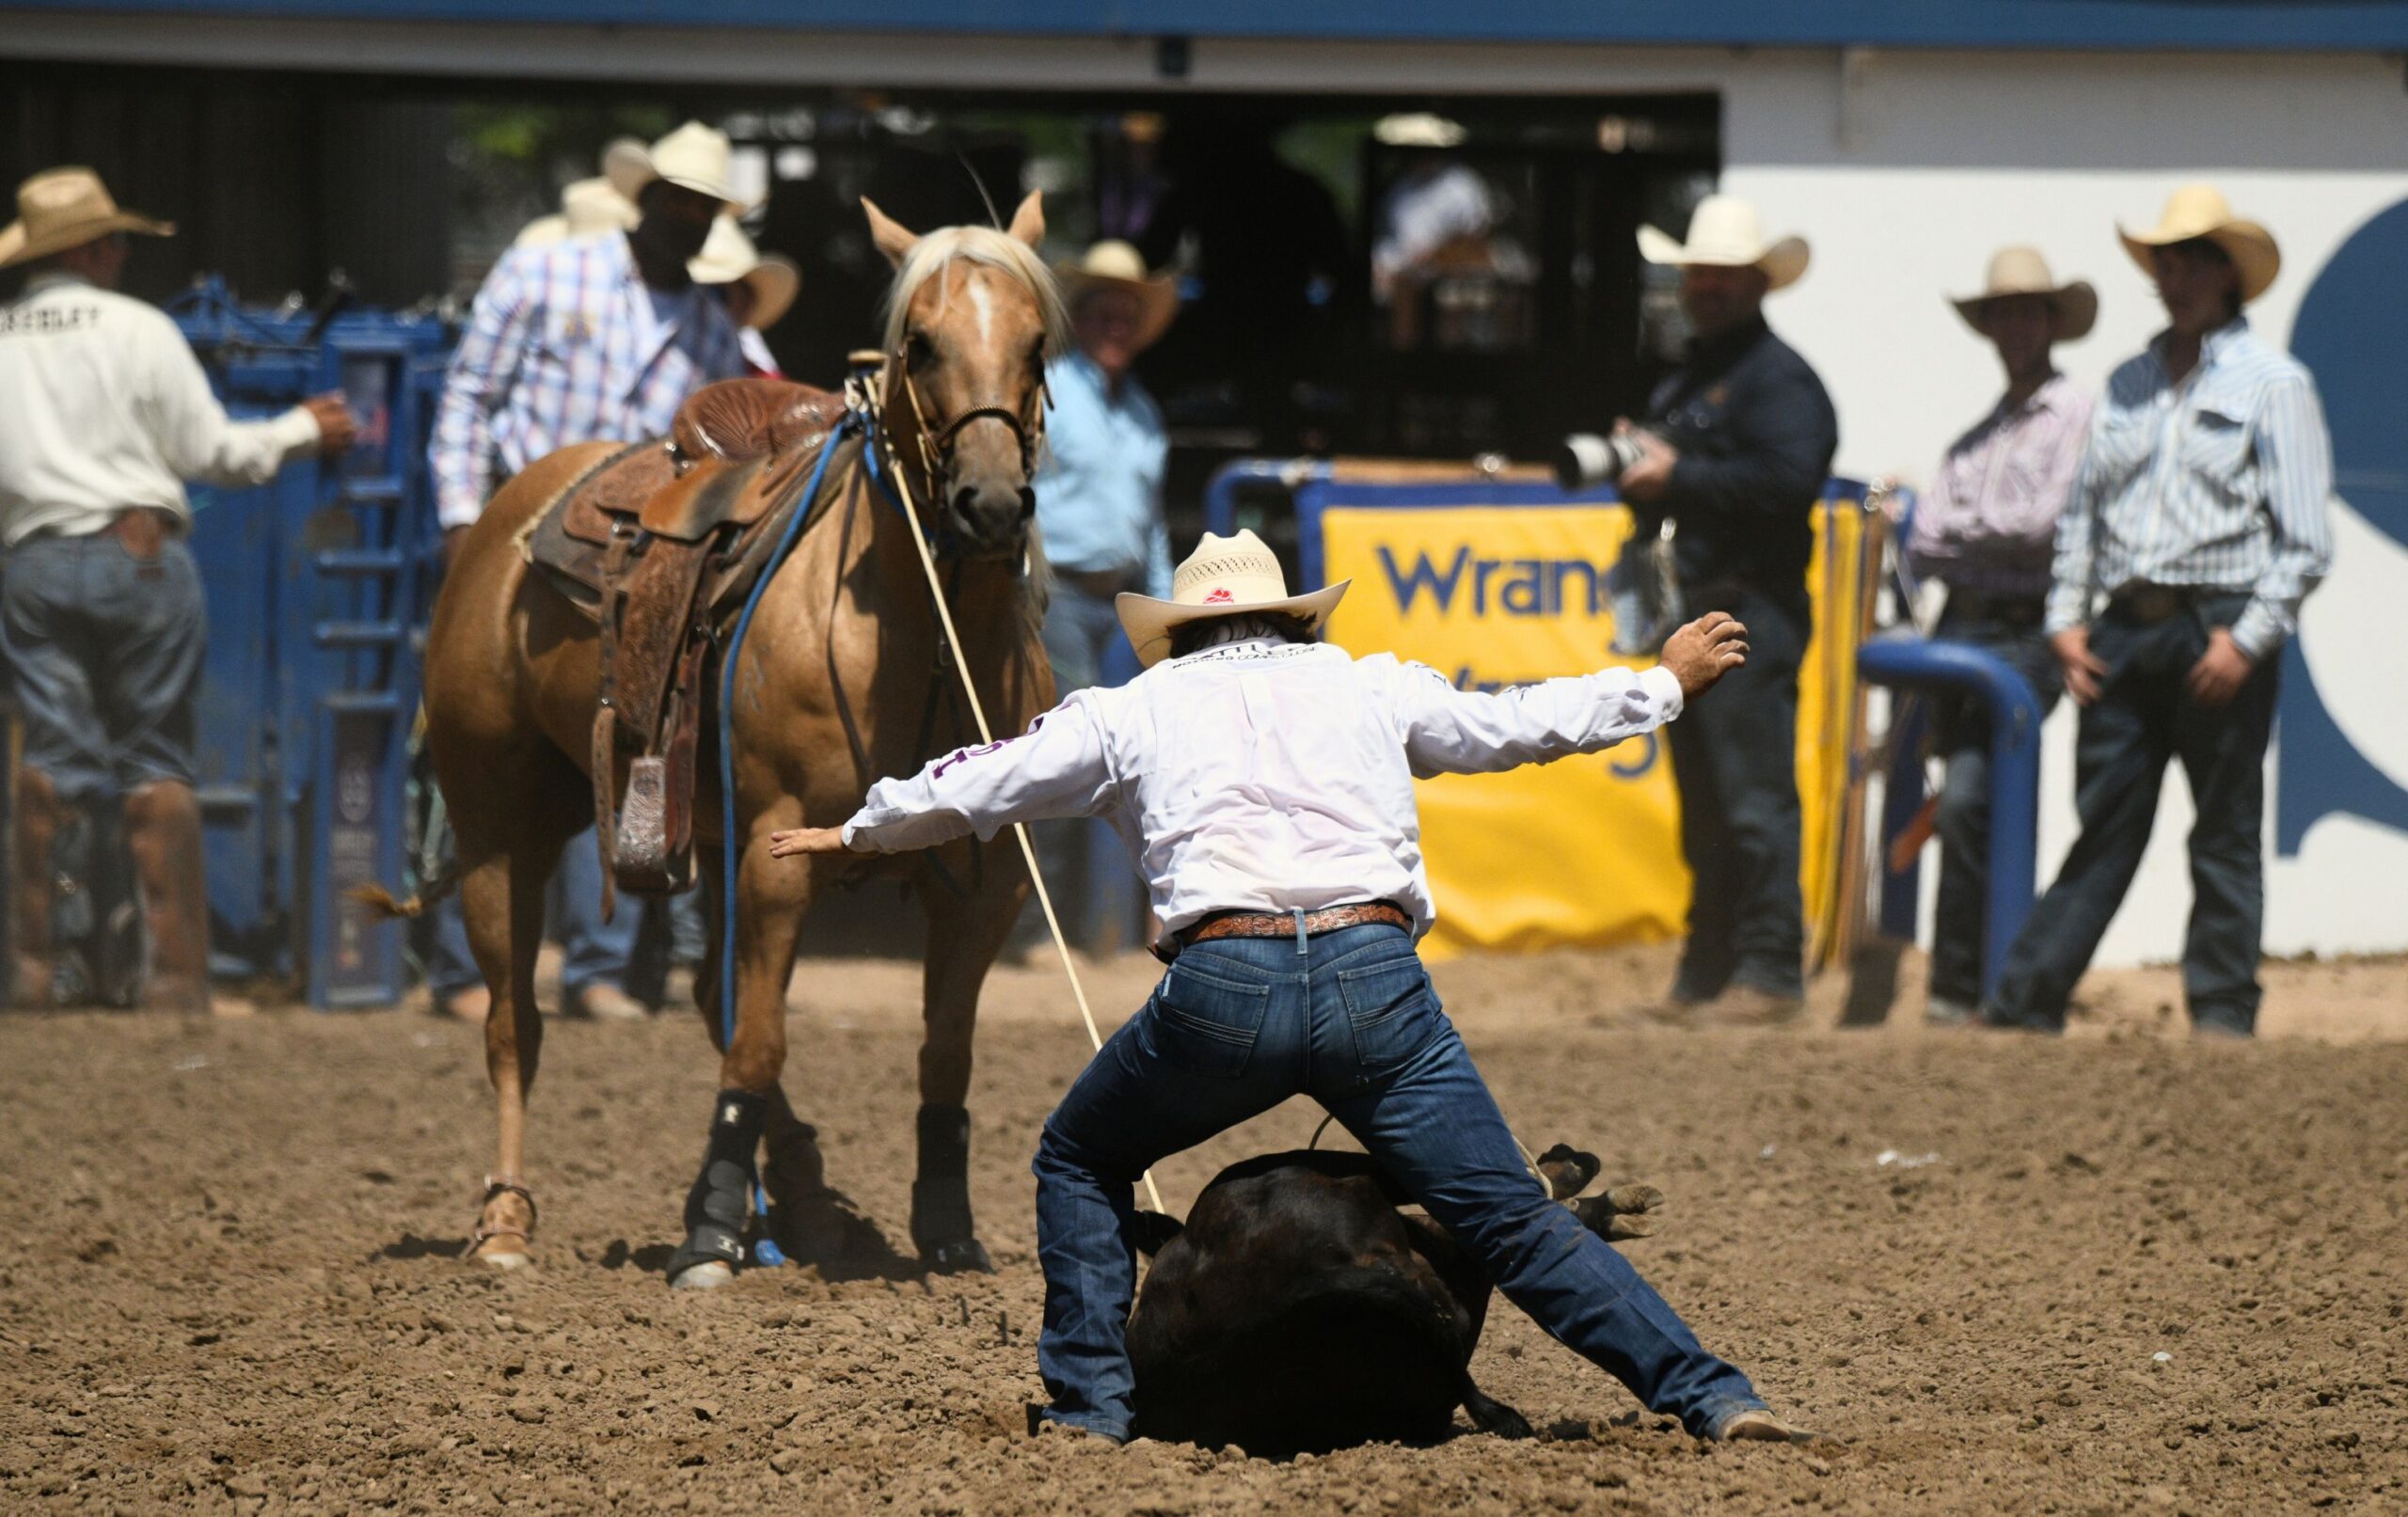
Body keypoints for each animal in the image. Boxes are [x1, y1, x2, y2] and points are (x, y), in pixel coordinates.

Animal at [423, 196, 1064, 1300]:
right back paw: (505, 1222)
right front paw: (709, 1235)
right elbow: (761, 1042)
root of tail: (506, 515)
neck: (913, 631)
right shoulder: (777, 857)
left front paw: (948, 1233)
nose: (988, 504)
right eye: (920, 343)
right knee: (517, 1021)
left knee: (704, 992)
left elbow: (944, 1054)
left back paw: (809, 1200)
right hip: (499, 829)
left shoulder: (985, 885)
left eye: (1034, 343)